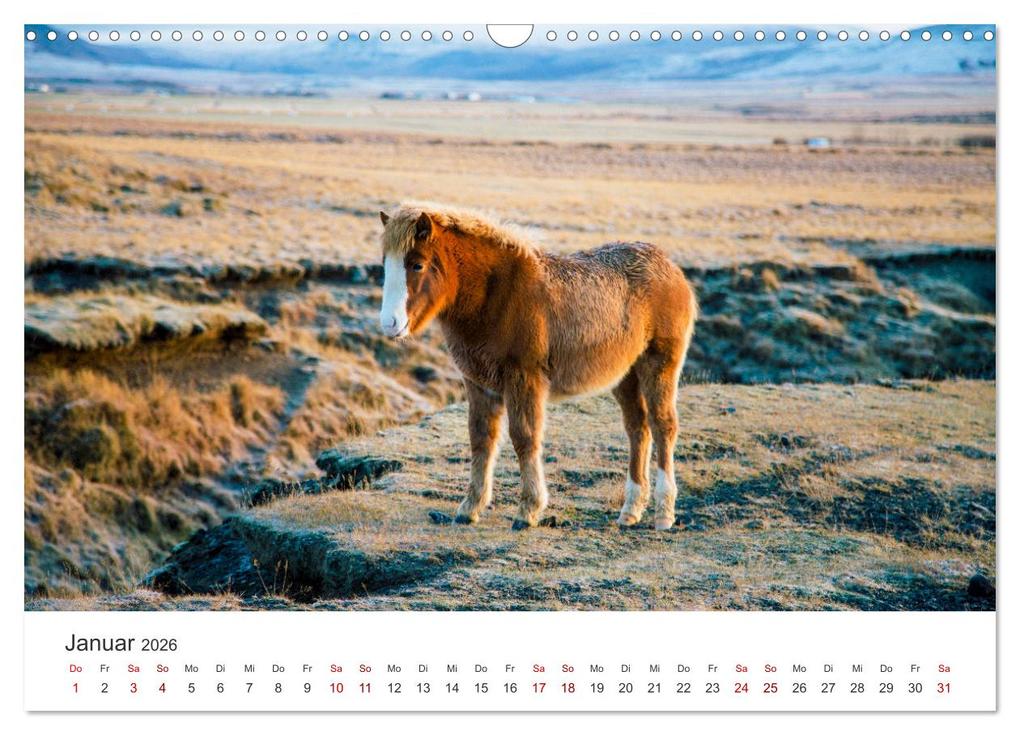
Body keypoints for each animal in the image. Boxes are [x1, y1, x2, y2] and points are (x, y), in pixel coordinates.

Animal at [378, 203, 697, 530]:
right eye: (386, 264)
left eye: (417, 265)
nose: (389, 324)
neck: (494, 294)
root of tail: (671, 267)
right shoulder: (478, 383)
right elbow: (481, 439)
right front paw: (470, 508)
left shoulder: (523, 378)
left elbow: (524, 438)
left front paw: (528, 510)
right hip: (625, 375)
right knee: (637, 428)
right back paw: (630, 511)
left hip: (659, 365)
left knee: (663, 425)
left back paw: (664, 513)